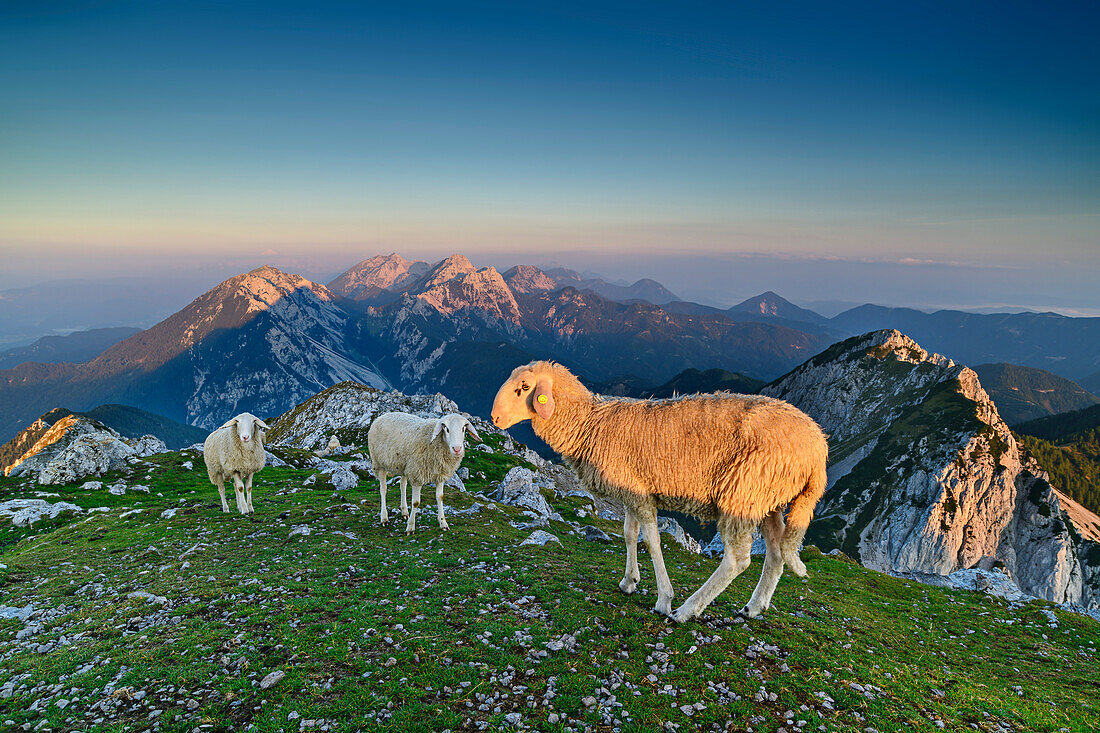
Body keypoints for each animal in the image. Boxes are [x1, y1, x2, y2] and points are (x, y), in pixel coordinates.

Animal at [490, 358, 827, 620]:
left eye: (523, 388)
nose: (494, 417)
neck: (589, 422)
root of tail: (817, 448)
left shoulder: (640, 494)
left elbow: (651, 541)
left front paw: (664, 598)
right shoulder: (630, 489)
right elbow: (629, 534)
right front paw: (629, 581)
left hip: (743, 492)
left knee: (737, 560)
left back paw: (687, 610)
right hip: (767, 498)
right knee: (775, 552)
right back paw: (754, 607)